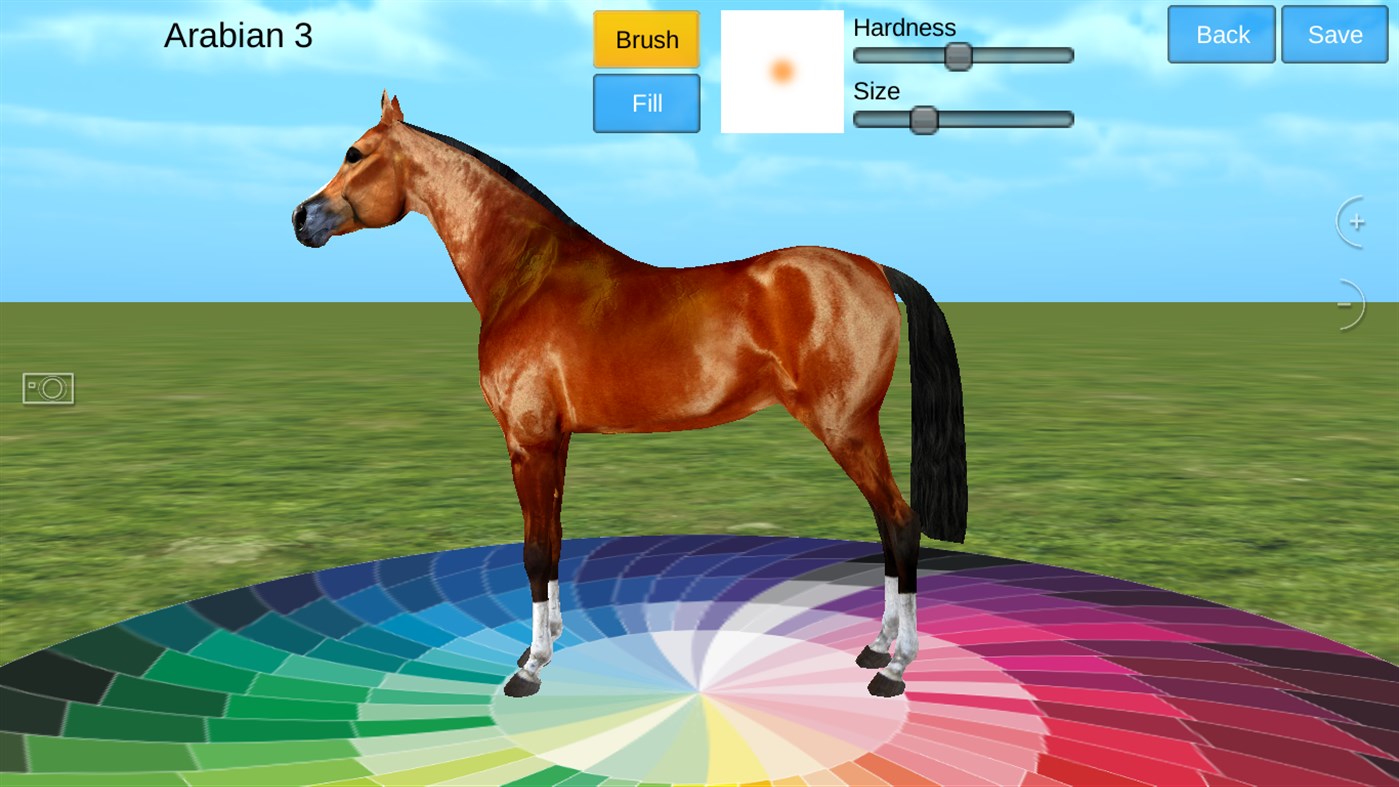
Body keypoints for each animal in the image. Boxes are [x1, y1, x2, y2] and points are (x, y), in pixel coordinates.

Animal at [293, 92, 967, 699]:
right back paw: (876, 646)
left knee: (900, 524)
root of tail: (874, 269)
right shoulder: (555, 441)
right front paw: (542, 645)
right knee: (885, 527)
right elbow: (553, 540)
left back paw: (893, 668)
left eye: (355, 153)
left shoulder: (528, 440)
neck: (527, 274)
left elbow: (534, 550)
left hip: (846, 426)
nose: (303, 218)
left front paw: (529, 670)